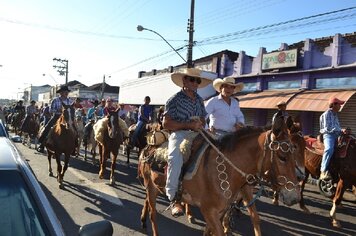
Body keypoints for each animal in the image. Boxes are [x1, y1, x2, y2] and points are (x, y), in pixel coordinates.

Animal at [138, 112, 298, 236]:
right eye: (282, 157)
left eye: (293, 153)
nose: (294, 196)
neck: (226, 169)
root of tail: (150, 146)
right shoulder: (209, 211)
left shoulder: (220, 210)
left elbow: (210, 231)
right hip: (150, 186)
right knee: (153, 215)